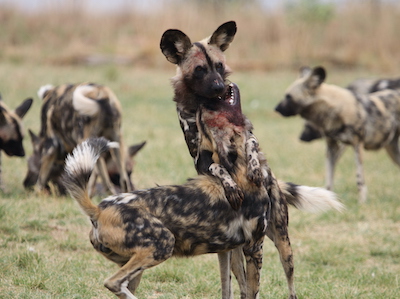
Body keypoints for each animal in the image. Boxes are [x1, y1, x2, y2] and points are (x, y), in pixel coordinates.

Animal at [64, 137, 270, 298]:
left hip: (135, 263)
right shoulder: (254, 247)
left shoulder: (229, 251)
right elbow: (253, 291)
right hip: (162, 244)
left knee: (121, 286)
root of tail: (99, 209)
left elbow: (233, 288)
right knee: (113, 282)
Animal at [161, 23, 342, 299]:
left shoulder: (248, 133)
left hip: (283, 244)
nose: (219, 87)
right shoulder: (201, 157)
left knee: (289, 281)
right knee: (242, 283)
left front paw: (254, 168)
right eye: (199, 69)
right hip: (236, 249)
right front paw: (230, 183)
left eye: (219, 66)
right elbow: (217, 166)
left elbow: (251, 145)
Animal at [276, 65, 400, 202]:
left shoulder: (356, 146)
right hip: (393, 151)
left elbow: (359, 179)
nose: (276, 108)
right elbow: (329, 178)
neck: (334, 110)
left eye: (288, 96)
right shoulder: (332, 147)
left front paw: (362, 202)